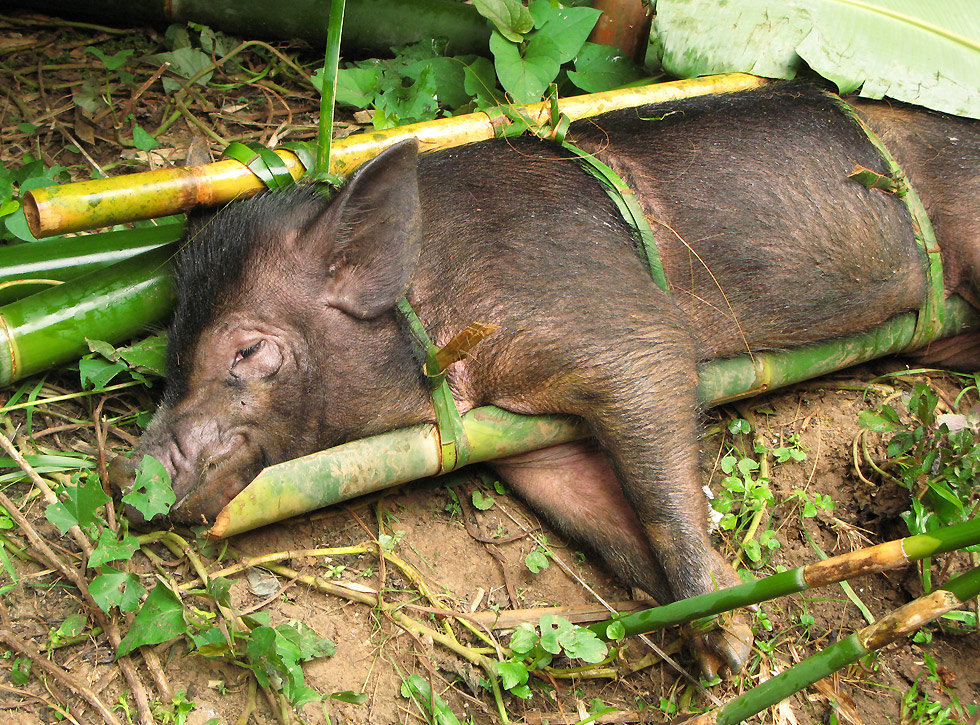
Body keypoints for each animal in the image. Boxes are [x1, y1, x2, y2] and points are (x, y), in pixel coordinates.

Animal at [107, 82, 980, 676]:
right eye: (171, 356)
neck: (435, 305)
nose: (126, 476)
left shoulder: (618, 327)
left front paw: (728, 653)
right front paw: (725, 620)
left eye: (247, 352)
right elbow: (609, 522)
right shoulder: (533, 445)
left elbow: (659, 460)